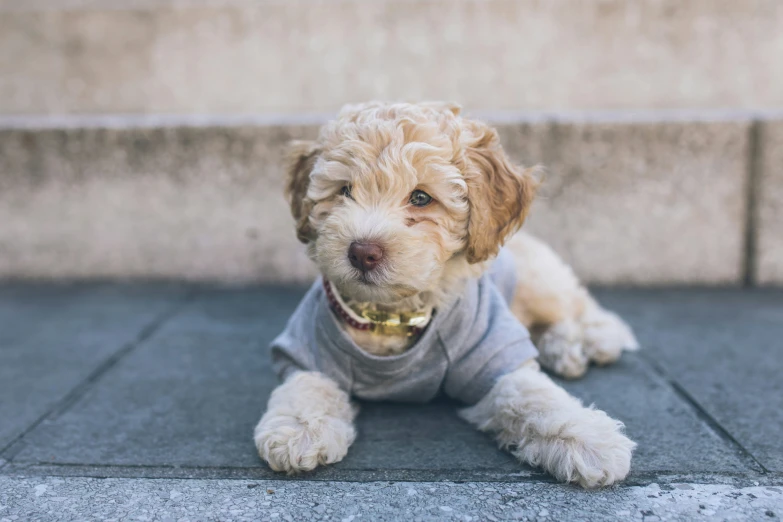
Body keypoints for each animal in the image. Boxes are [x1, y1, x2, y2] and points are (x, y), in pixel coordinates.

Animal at [254, 102, 640, 488]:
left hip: (538, 280)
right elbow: (306, 386)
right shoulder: (310, 347)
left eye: (421, 198)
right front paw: (299, 430)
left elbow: (532, 395)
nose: (362, 252)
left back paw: (591, 342)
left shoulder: (492, 351)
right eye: (344, 190)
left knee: (580, 307)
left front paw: (586, 438)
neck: (390, 316)